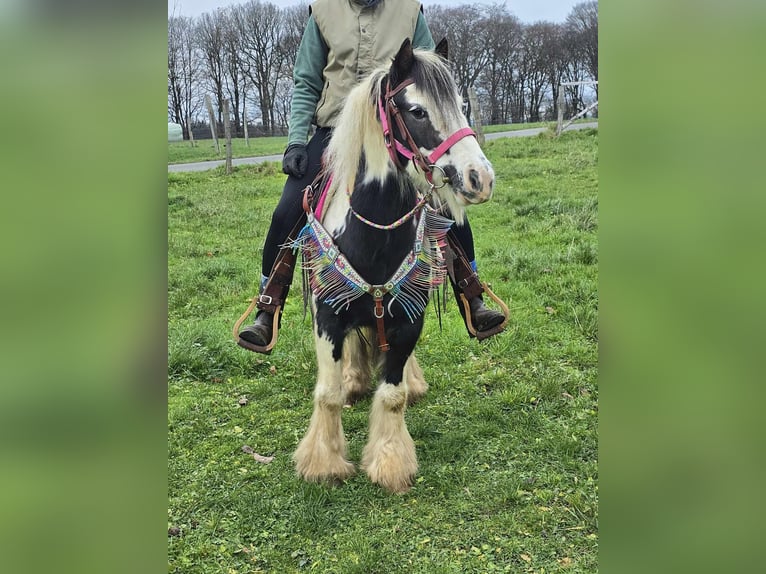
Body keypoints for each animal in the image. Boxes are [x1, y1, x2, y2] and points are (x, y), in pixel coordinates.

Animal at [292, 38, 496, 496]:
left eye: (462, 105)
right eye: (417, 110)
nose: (480, 178)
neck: (375, 232)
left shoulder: (407, 317)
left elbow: (392, 394)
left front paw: (390, 464)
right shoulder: (327, 317)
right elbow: (327, 393)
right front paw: (323, 465)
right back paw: (354, 381)